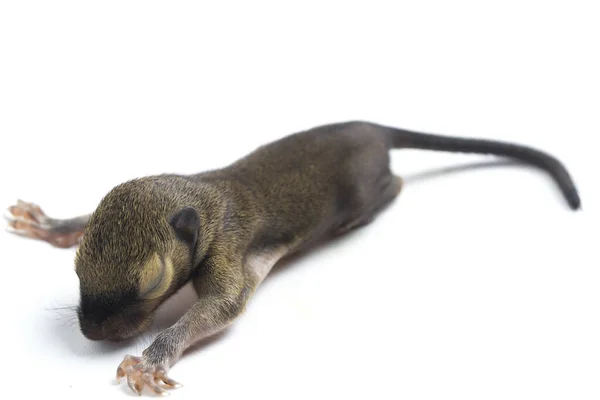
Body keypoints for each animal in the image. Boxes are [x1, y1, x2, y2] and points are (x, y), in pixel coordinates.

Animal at [4, 120, 580, 396]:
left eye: (150, 283)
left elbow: (223, 306)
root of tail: (372, 127)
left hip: (364, 186)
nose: (93, 333)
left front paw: (151, 358)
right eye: (76, 268)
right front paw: (55, 224)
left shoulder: (228, 248)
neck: (203, 195)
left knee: (392, 186)